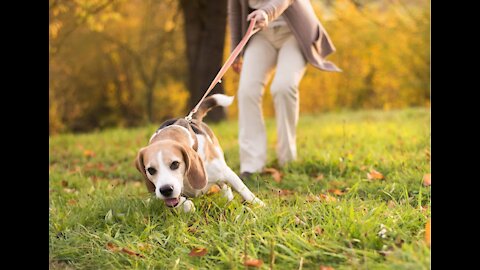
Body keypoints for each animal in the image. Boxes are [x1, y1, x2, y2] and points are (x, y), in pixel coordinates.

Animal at [134, 94, 262, 212]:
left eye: (175, 164)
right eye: (150, 170)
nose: (166, 190)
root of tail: (193, 119)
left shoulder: (226, 172)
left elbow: (244, 190)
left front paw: (260, 205)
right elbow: (184, 203)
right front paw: (187, 206)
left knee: (225, 185)